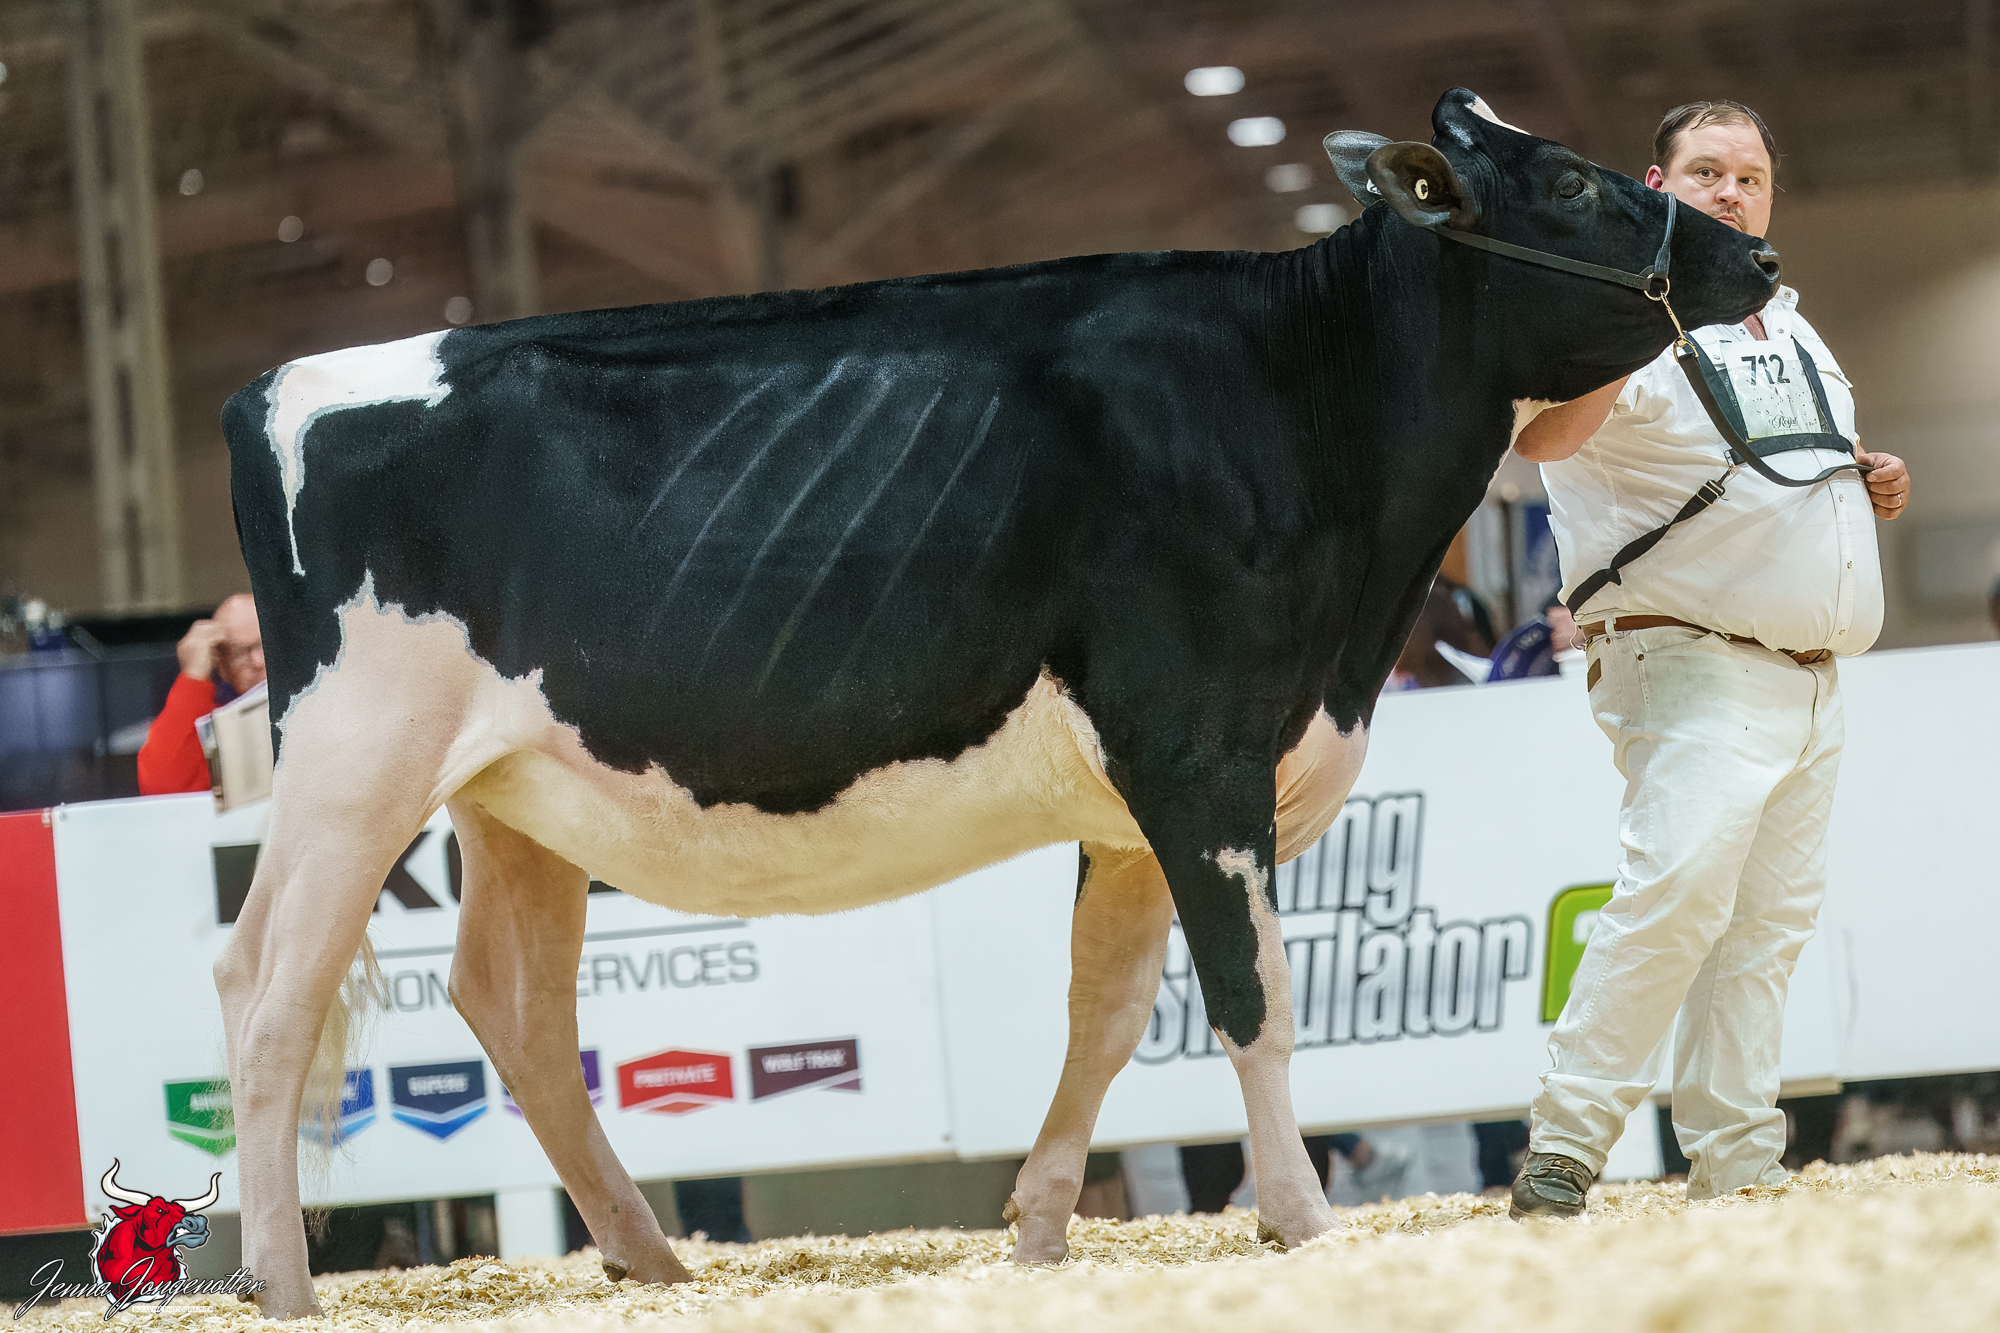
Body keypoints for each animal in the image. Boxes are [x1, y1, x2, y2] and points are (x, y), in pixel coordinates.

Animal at [214, 89, 1779, 1317]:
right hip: (356, 758)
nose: (1755, 251)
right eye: (1567, 181)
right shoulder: (1196, 751)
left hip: (508, 790)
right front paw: (1301, 1220)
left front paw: (1034, 1228)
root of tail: (272, 384)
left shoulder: (1138, 800)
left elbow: (1106, 1009)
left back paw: (647, 1257)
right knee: (272, 990)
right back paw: (282, 1282)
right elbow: (1252, 998)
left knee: (501, 999)